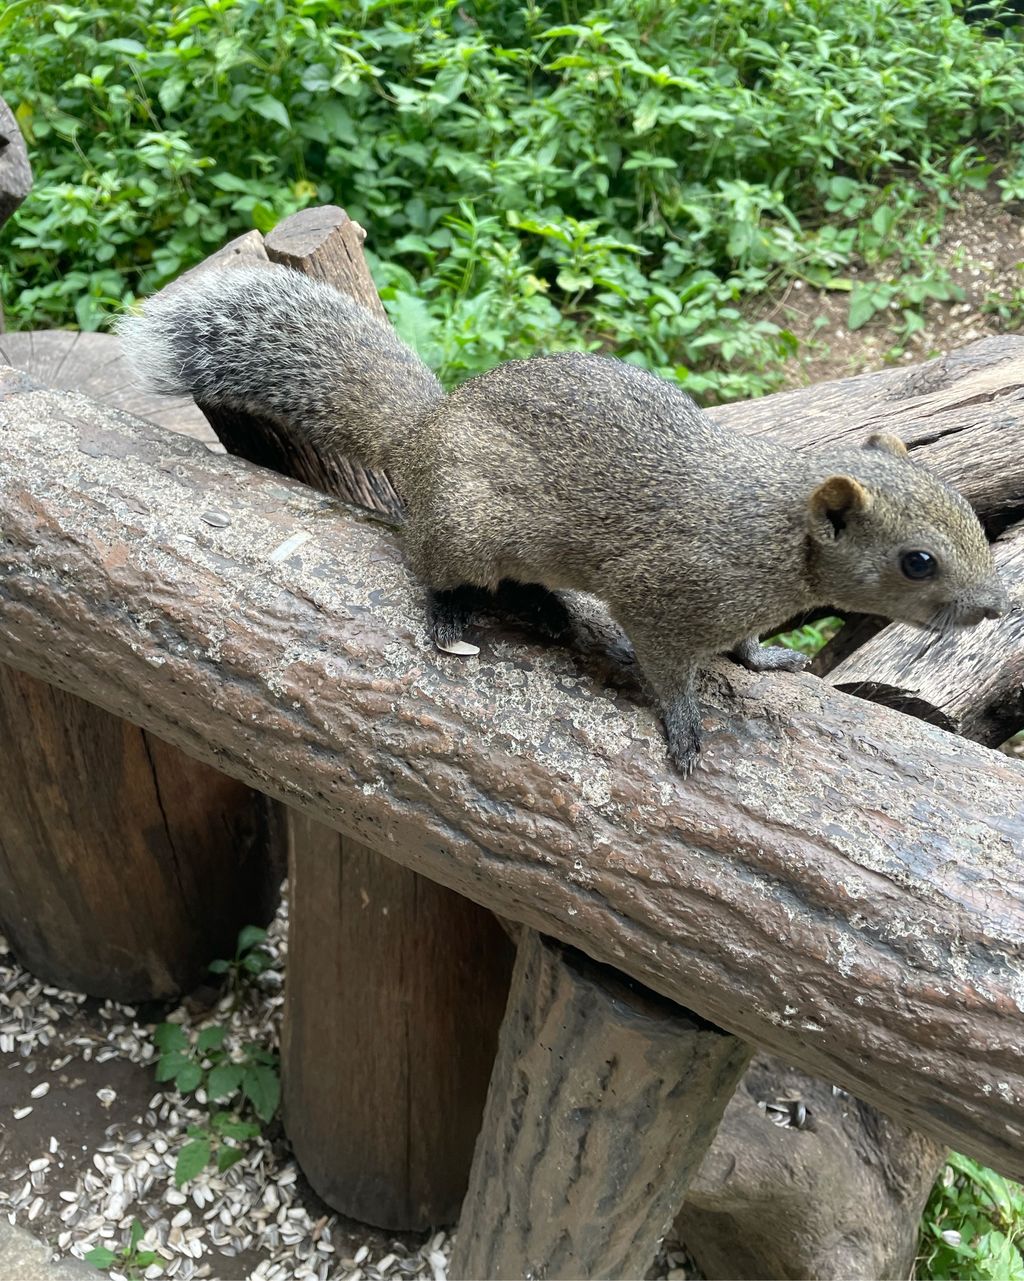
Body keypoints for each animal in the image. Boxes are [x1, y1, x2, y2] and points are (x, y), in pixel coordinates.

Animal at [117, 261, 1009, 773]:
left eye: (971, 517)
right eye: (918, 561)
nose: (994, 607)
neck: (771, 534)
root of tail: (421, 436)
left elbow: (746, 646)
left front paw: (768, 659)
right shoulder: (665, 592)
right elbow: (668, 667)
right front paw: (685, 727)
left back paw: (546, 609)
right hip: (465, 526)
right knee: (430, 564)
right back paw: (455, 613)